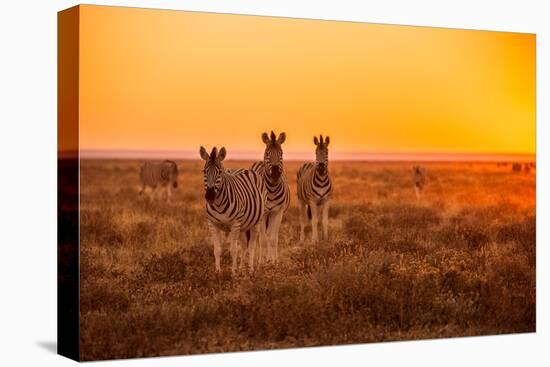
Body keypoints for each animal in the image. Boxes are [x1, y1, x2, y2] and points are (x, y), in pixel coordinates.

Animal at [199, 145, 268, 274]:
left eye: (220, 172)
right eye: (204, 171)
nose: (210, 196)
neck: (218, 204)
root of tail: (246, 169)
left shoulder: (235, 224)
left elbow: (234, 250)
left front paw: (233, 273)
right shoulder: (212, 224)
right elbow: (217, 249)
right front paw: (218, 272)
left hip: (257, 221)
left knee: (252, 245)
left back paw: (250, 269)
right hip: (243, 225)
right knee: (244, 243)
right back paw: (242, 269)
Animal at [251, 131, 292, 264]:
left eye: (281, 153)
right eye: (267, 153)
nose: (275, 173)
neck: (272, 190)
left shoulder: (278, 212)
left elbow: (273, 238)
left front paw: (274, 261)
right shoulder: (263, 213)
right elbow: (263, 239)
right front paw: (261, 262)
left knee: (272, 235)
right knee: (259, 236)